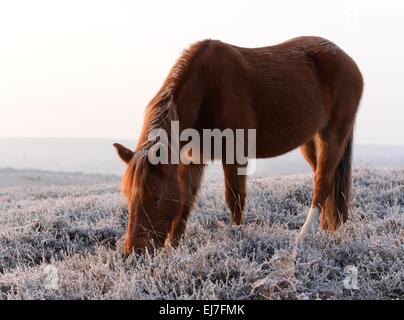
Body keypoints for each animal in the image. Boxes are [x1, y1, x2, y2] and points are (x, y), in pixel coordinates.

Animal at [113, 36, 362, 255]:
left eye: (155, 197)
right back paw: (328, 230)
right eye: (127, 195)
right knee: (328, 182)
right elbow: (185, 201)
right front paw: (172, 248)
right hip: (311, 141)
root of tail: (349, 62)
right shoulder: (193, 160)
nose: (134, 251)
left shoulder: (235, 155)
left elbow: (234, 199)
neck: (207, 87)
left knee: (322, 182)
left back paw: (303, 235)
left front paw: (237, 237)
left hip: (333, 134)